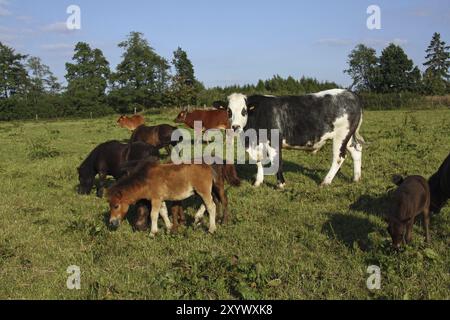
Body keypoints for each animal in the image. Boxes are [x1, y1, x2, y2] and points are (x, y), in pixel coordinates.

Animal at [214, 88, 366, 188]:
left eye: (244, 111)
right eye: (229, 111)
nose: (235, 126)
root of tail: (351, 94)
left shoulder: (274, 142)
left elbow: (276, 161)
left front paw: (281, 184)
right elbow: (258, 161)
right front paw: (257, 182)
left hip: (341, 135)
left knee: (339, 157)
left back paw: (325, 181)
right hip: (348, 137)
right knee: (356, 149)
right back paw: (356, 178)